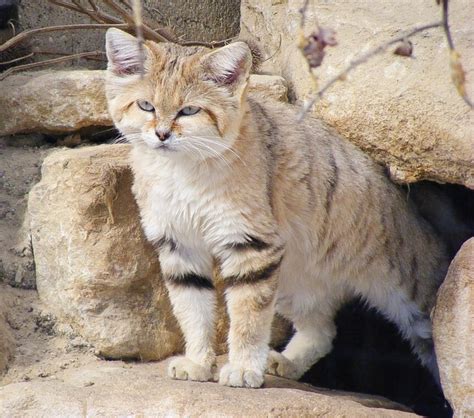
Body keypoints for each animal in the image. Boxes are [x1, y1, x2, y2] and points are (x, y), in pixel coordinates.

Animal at [104, 28, 448, 388]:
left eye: (189, 111)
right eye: (146, 105)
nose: (161, 134)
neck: (180, 171)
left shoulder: (251, 245)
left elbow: (248, 318)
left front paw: (242, 368)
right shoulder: (179, 246)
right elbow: (193, 310)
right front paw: (198, 363)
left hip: (410, 293)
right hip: (293, 280)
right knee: (322, 331)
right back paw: (286, 362)